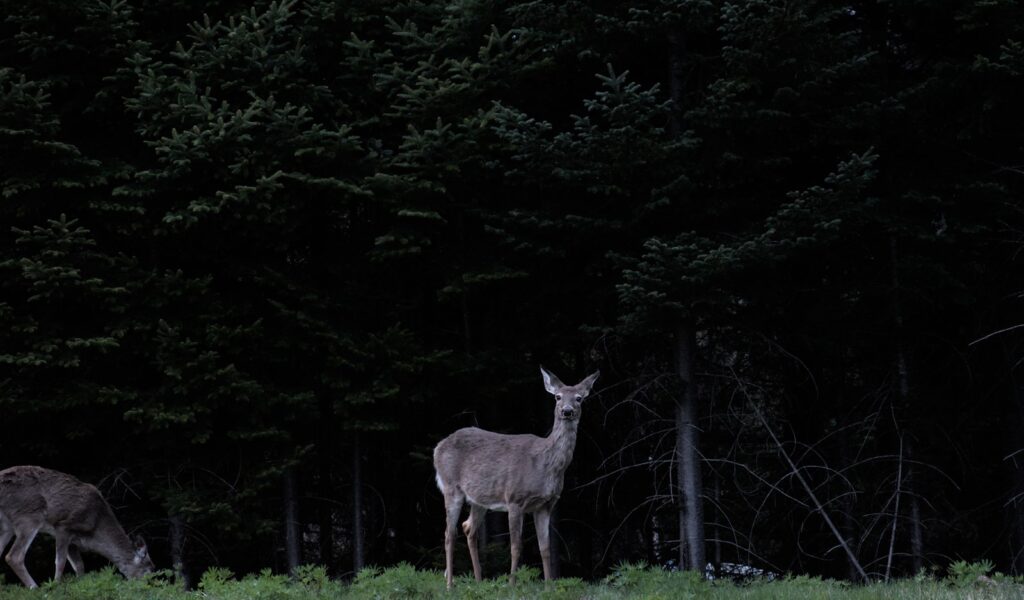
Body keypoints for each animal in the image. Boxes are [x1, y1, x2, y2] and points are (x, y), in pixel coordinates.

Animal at [0, 465, 154, 588]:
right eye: (148, 570)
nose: (146, 588)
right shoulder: (63, 526)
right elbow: (60, 562)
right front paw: (55, 587)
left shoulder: (73, 541)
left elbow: (79, 566)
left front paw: (80, 585)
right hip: (29, 514)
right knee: (14, 556)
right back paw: (35, 588)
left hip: (7, 526)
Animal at [433, 366, 599, 589]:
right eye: (557, 397)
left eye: (579, 398)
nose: (567, 411)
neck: (545, 465)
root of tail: (438, 447)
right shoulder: (514, 499)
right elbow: (515, 546)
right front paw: (512, 584)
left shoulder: (545, 505)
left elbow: (545, 548)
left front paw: (549, 585)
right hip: (451, 487)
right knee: (449, 534)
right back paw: (450, 585)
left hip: (479, 499)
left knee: (469, 528)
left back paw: (478, 581)